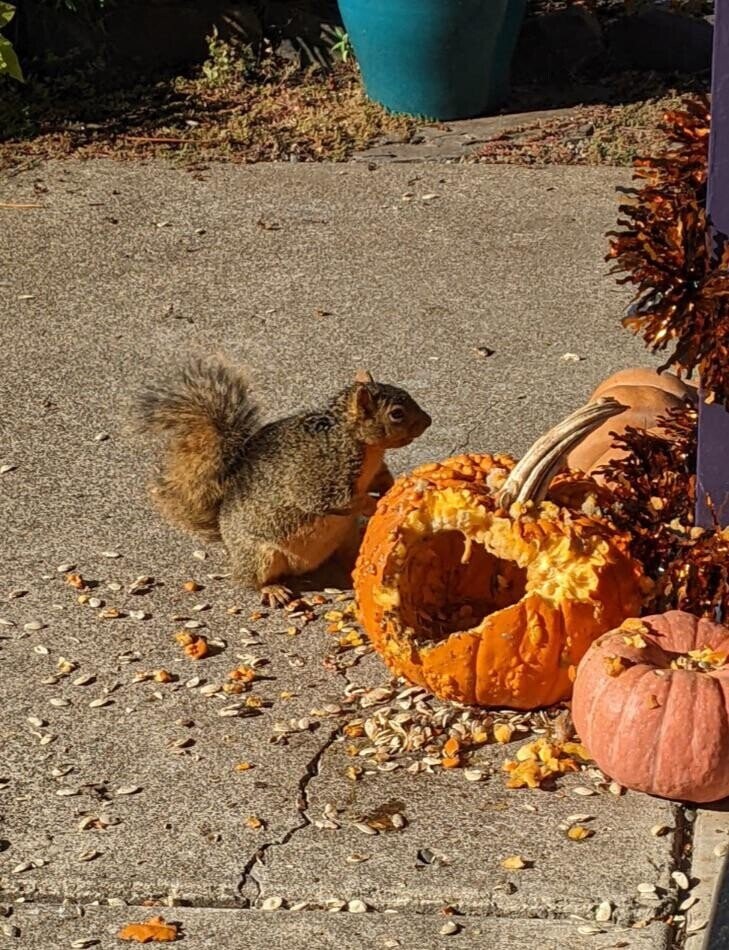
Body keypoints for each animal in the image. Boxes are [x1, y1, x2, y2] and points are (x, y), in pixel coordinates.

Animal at [133, 356, 431, 606]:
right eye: (396, 413)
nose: (428, 421)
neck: (354, 439)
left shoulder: (374, 468)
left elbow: (382, 478)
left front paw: (395, 487)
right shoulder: (320, 475)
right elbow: (333, 501)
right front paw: (374, 504)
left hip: (343, 537)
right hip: (259, 555)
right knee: (249, 580)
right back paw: (272, 589)